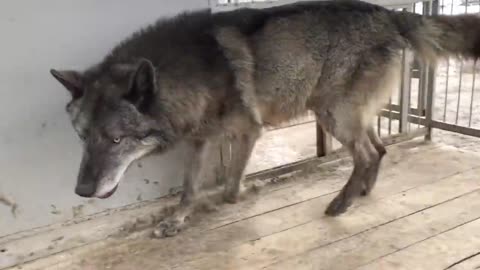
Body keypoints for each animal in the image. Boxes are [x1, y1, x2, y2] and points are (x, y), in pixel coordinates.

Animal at [49, 0, 480, 236]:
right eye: (83, 137)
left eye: (116, 139)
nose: (82, 192)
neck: (193, 72)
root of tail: (390, 14)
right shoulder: (201, 140)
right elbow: (189, 188)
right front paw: (177, 220)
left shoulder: (248, 132)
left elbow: (228, 188)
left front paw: (248, 191)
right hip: (350, 114)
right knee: (378, 150)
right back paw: (359, 192)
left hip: (333, 114)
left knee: (369, 153)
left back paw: (341, 203)